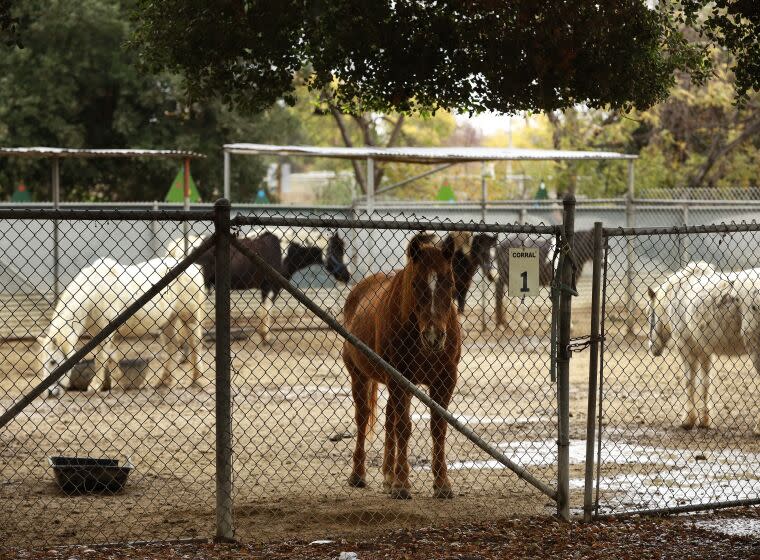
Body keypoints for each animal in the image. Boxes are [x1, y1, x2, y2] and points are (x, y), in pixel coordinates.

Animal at [40, 256, 208, 396]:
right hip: (168, 321)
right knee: (172, 347)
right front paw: (121, 382)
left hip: (190, 317)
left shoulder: (105, 332)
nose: (49, 392)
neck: (94, 293)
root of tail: (193, 267)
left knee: (195, 344)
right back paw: (163, 382)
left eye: (53, 361)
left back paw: (196, 379)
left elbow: (101, 357)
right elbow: (111, 356)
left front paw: (95, 386)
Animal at [342, 231, 460, 498]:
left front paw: (442, 484)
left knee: (388, 418)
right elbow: (404, 426)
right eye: (415, 284)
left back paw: (388, 474)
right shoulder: (399, 378)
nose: (434, 337)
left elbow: (438, 427)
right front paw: (402, 483)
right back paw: (359, 475)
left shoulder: (445, 380)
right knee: (363, 418)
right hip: (360, 375)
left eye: (449, 282)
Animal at [648, 262, 760, 434]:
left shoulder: (685, 347)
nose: (652, 348)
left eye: (650, 315)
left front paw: (688, 421)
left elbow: (689, 381)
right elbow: (706, 383)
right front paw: (705, 421)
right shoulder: (705, 351)